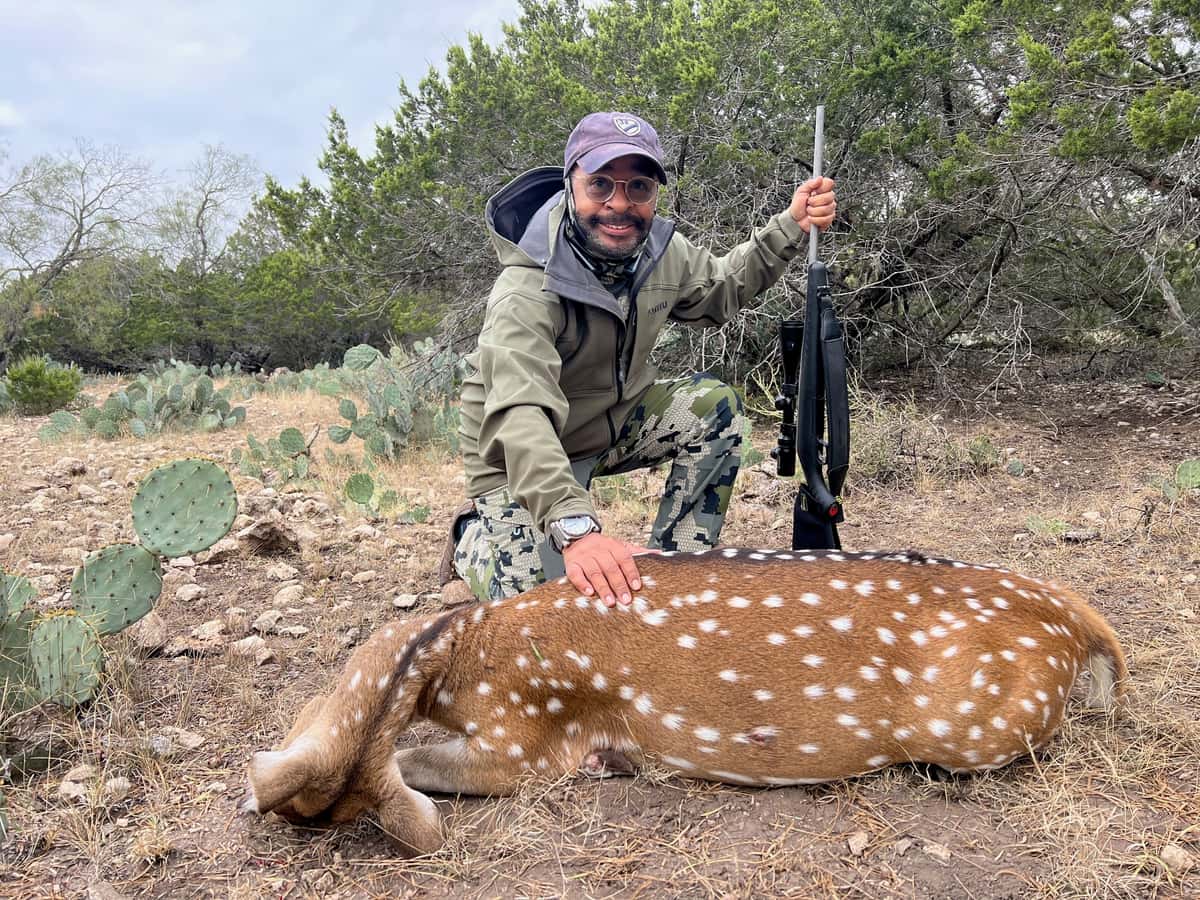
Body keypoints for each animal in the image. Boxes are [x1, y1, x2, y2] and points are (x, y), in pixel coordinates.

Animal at [240, 547, 1127, 855]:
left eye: (326, 811)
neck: (464, 661)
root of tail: (1080, 622)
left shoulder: (526, 744)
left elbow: (426, 762)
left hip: (981, 730)